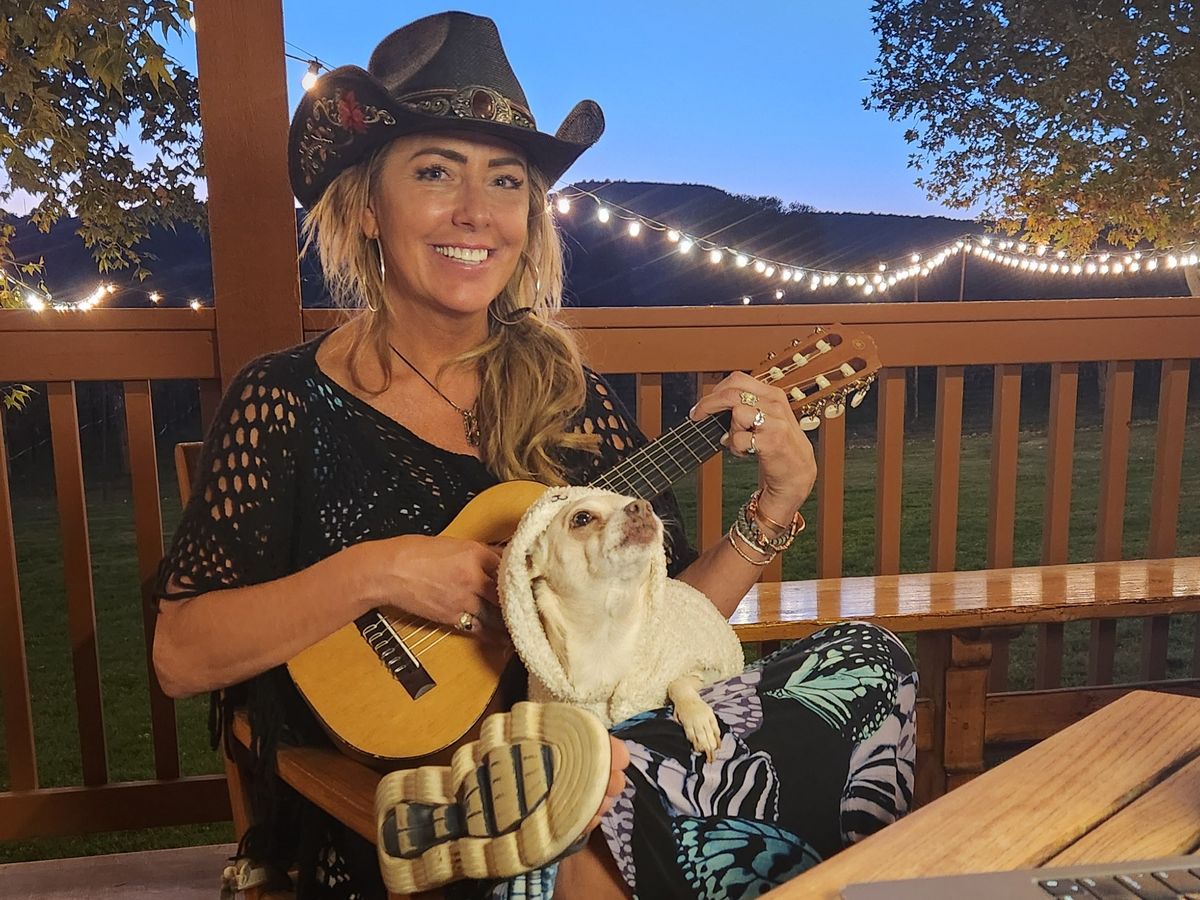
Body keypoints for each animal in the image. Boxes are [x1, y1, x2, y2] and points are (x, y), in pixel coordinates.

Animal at [500, 487, 745, 761]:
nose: (643, 506)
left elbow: (678, 682)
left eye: (645, 503)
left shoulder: (715, 671)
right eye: (581, 518)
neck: (606, 630)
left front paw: (698, 719)